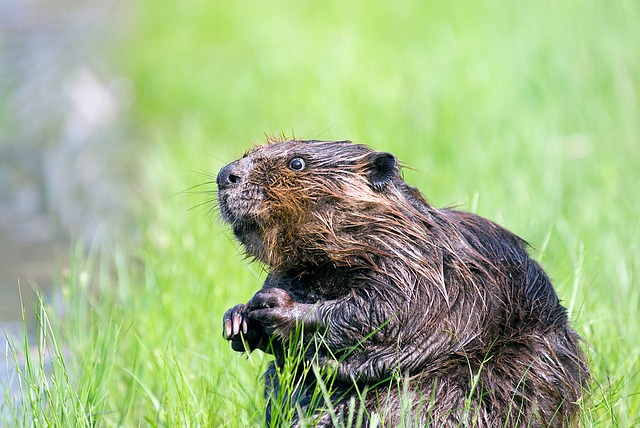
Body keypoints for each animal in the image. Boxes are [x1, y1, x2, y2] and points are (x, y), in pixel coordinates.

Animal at [220, 139, 592, 426]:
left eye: (296, 162)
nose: (226, 174)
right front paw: (237, 318)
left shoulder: (419, 266)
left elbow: (384, 312)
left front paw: (274, 306)